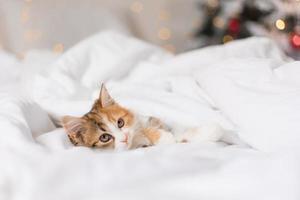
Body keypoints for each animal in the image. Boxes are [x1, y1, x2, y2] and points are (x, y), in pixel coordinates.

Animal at [61, 84, 225, 150]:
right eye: (104, 138)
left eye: (120, 122)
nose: (125, 137)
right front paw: (165, 138)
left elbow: (178, 131)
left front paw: (212, 131)